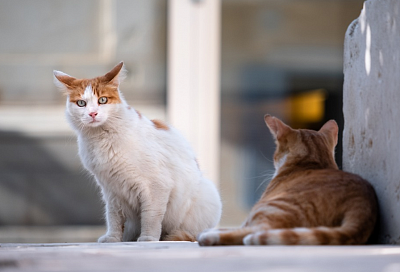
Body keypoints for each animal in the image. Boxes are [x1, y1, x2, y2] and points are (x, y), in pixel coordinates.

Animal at [53, 62, 222, 242]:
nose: (93, 113)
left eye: (102, 100)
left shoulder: (155, 187)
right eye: (81, 103)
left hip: (206, 197)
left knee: (189, 234)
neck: (102, 138)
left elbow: (150, 217)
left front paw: (148, 238)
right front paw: (113, 238)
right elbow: (113, 218)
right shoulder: (111, 190)